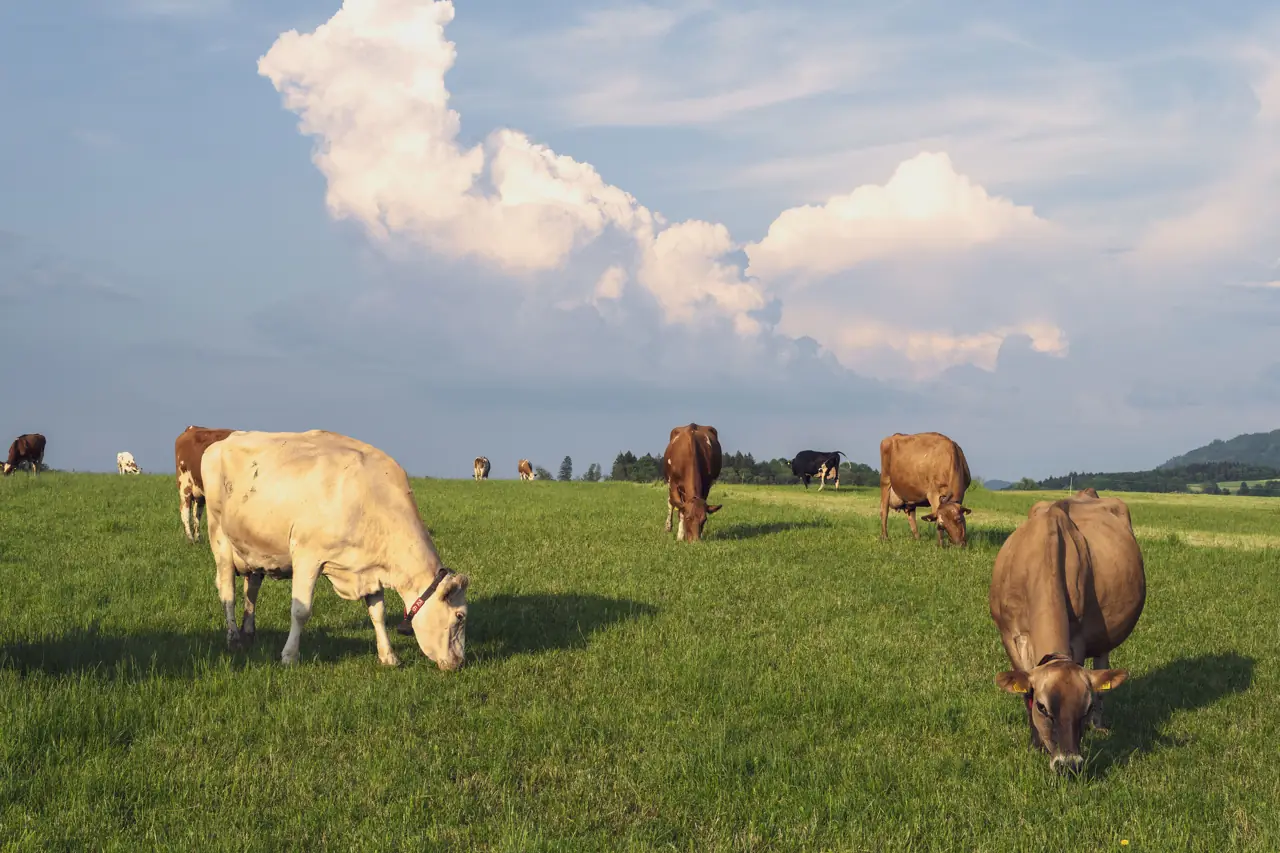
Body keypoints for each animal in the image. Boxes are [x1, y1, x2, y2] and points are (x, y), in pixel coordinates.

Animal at [202, 429, 469, 670]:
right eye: (460, 616)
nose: (459, 662)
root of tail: (223, 441)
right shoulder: (307, 556)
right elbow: (301, 611)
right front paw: (289, 656)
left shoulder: (370, 569)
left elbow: (378, 613)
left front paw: (388, 656)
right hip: (220, 538)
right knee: (227, 592)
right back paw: (234, 638)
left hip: (253, 549)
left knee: (251, 589)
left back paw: (248, 632)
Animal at [990, 491, 1145, 774]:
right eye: (1043, 708)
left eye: (1085, 707)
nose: (1069, 764)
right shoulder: (1009, 635)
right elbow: (1024, 692)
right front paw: (1035, 744)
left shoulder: (1079, 639)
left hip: (1103, 636)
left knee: (1102, 665)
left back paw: (1100, 725)